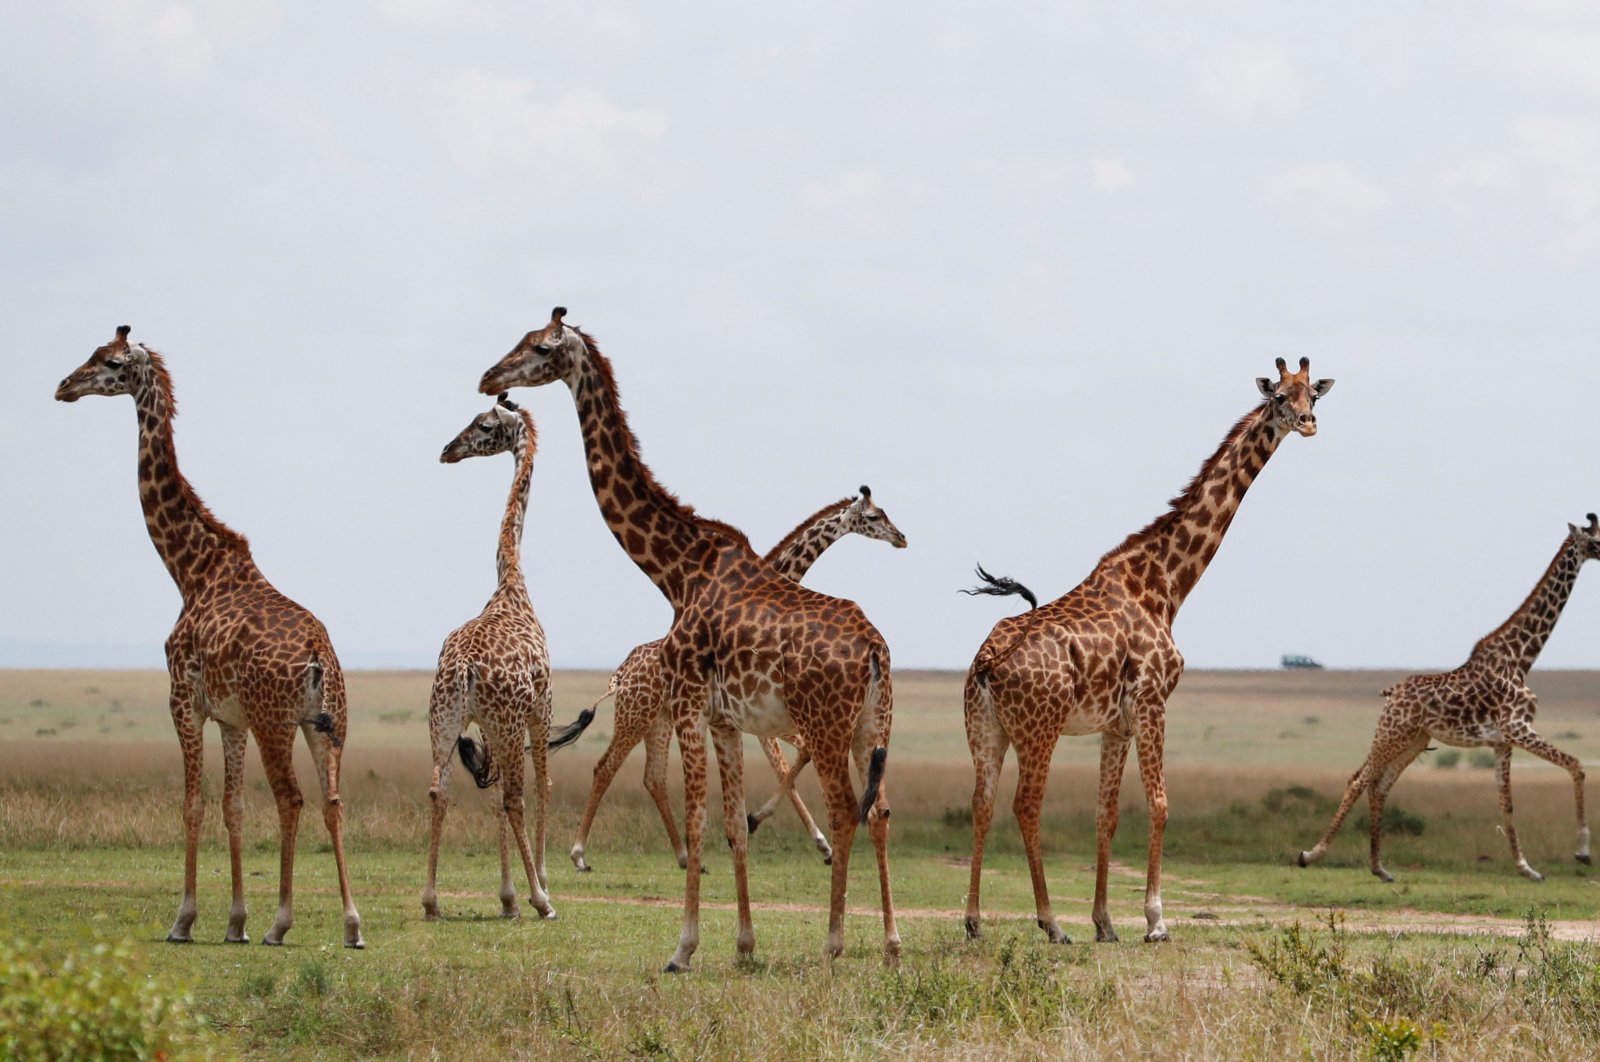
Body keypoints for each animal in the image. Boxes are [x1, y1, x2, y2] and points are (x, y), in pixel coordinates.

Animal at [54, 326, 363, 948]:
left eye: (110, 362)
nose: (65, 385)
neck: (189, 571)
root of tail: (318, 656)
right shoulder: (232, 718)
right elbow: (233, 806)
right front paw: (235, 921)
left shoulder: (184, 700)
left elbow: (193, 803)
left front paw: (186, 918)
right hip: (328, 724)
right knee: (333, 803)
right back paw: (350, 924)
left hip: (277, 722)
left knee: (292, 798)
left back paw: (280, 923)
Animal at [421, 396, 595, 922]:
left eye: (482, 425)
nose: (447, 450)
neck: (512, 583)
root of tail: (462, 669)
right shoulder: (541, 708)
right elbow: (543, 787)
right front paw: (535, 886)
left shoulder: (489, 725)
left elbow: (495, 796)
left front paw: (507, 896)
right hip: (505, 720)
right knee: (517, 796)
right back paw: (543, 902)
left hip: (444, 717)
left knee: (440, 789)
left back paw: (431, 901)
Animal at [568, 487, 908, 873]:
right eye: (873, 516)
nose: (901, 537)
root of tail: (619, 674)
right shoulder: (763, 725)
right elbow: (788, 766)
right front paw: (781, 830)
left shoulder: (765, 723)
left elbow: (792, 763)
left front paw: (815, 843)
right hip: (634, 715)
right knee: (605, 767)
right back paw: (579, 854)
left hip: (659, 721)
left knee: (653, 778)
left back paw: (685, 856)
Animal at [961, 357, 1333, 944]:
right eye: (1279, 396)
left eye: (1312, 396)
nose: (1308, 423)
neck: (1166, 584)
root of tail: (986, 662)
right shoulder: (1154, 701)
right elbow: (1159, 804)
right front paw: (1156, 921)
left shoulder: (1116, 722)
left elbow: (1106, 814)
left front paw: (1105, 922)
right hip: (1039, 727)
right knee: (1025, 805)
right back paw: (1050, 923)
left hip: (986, 728)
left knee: (981, 803)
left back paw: (975, 921)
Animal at [1298, 516, 1599, 882]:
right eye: (1595, 542)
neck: (1520, 659)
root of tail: (1390, 692)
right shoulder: (1518, 728)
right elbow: (1576, 765)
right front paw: (1582, 852)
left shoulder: (1503, 741)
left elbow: (1507, 802)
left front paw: (1527, 869)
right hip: (1391, 733)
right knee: (1358, 779)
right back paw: (1311, 854)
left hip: (1414, 740)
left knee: (1380, 785)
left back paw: (1379, 868)